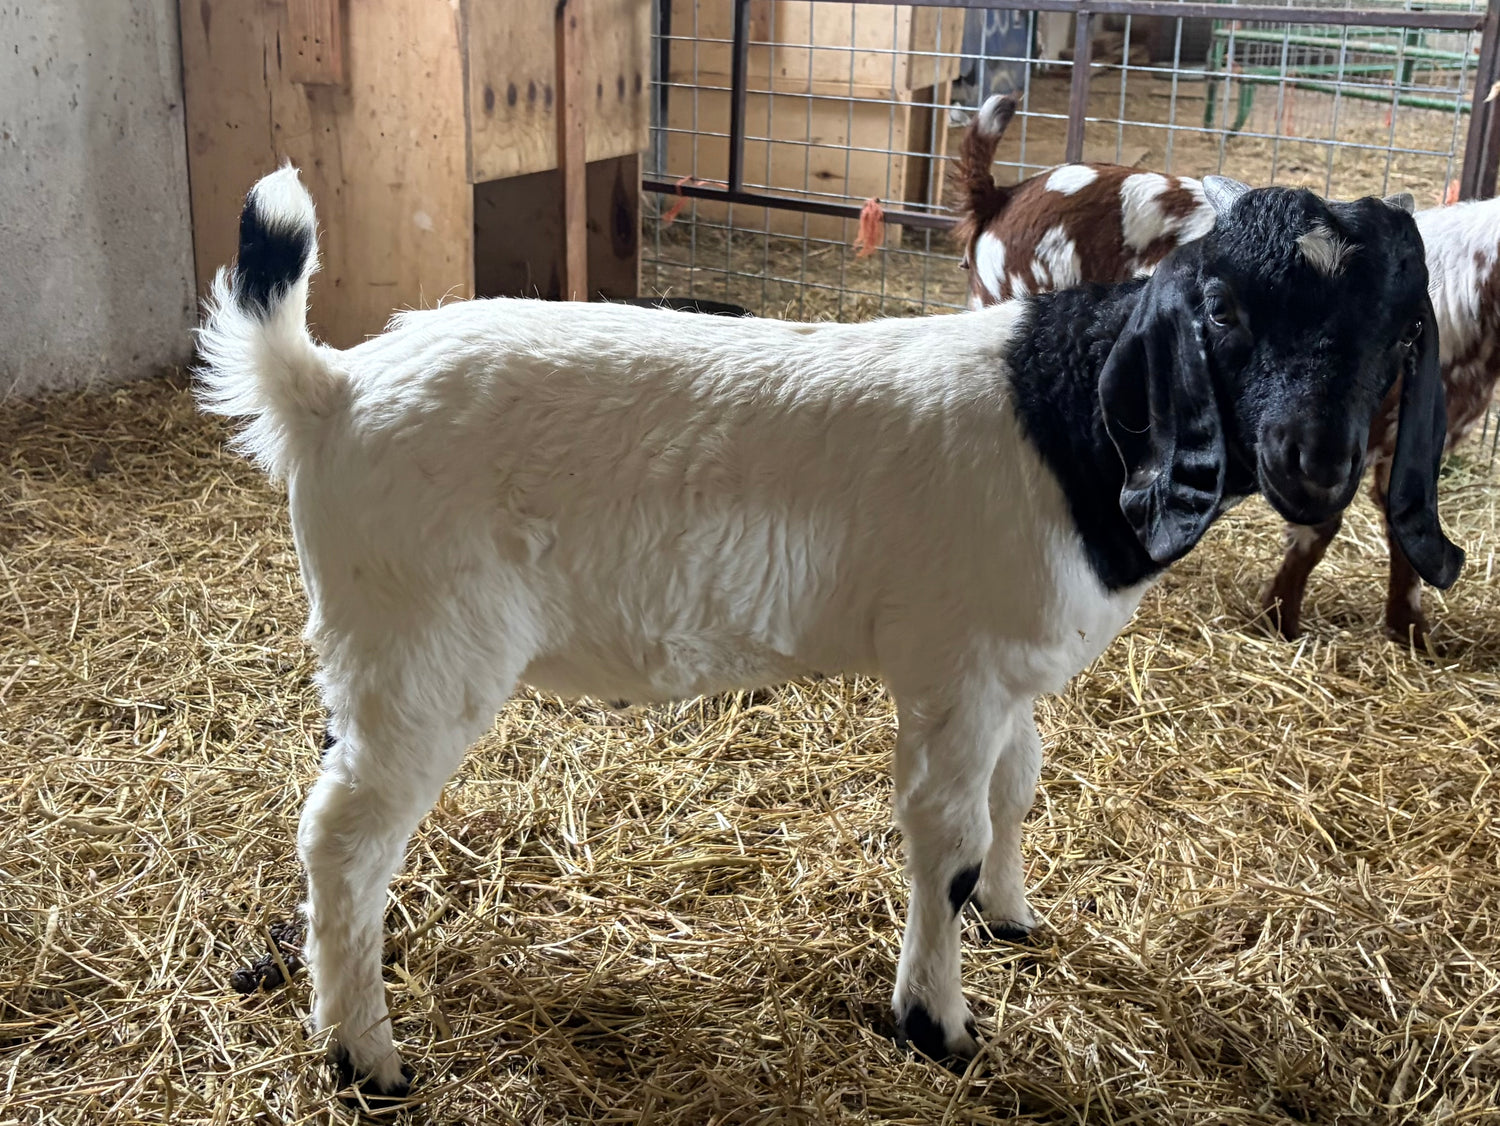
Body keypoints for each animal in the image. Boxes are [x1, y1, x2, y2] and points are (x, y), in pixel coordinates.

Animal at [197, 165, 1460, 1103]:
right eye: (1223, 309)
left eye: (1402, 328)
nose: (1319, 468)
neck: (1062, 419)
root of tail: (330, 388)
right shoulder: (956, 666)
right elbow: (947, 840)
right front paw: (937, 1022)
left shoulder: (1010, 670)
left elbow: (1017, 792)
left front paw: (1014, 918)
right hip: (425, 649)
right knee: (346, 835)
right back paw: (365, 1054)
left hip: (373, 648)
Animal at [956, 93, 1491, 648]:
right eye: (1222, 308)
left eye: (1411, 329)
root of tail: (1002, 197)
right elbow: (1318, 531)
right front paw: (1280, 617)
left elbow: (1396, 521)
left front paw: (1409, 628)